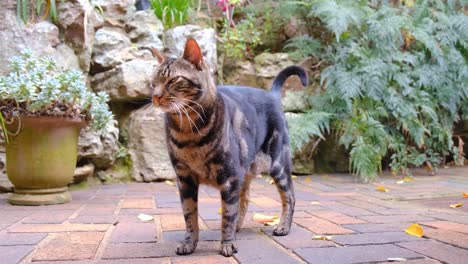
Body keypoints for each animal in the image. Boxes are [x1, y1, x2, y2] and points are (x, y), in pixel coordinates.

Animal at [150, 38, 308, 256]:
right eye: (153, 83)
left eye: (173, 80)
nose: (155, 96)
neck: (189, 132)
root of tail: (272, 95)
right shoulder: (184, 179)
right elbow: (190, 215)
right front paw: (189, 242)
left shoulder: (229, 177)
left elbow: (227, 213)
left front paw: (227, 243)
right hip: (246, 170)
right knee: (245, 199)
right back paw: (238, 226)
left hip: (278, 163)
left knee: (289, 196)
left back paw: (283, 226)